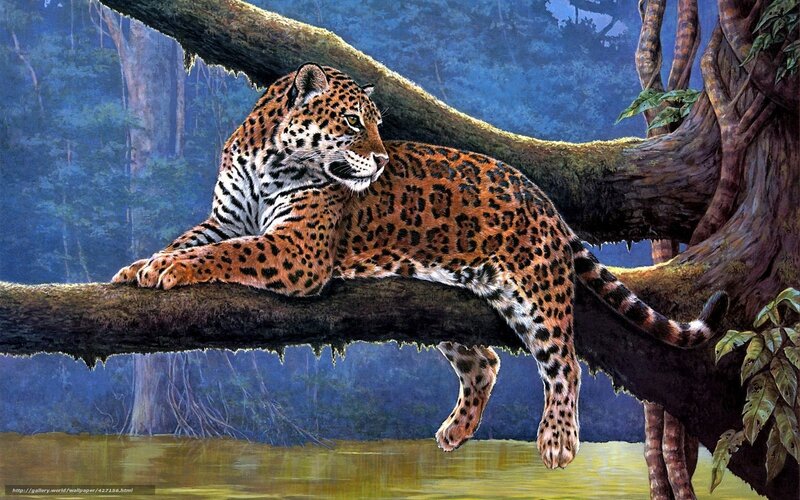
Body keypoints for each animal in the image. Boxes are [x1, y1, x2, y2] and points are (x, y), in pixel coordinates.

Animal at [113, 63, 728, 468]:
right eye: (352, 122)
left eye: (378, 124)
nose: (383, 158)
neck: (268, 160)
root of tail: (540, 194)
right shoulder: (225, 218)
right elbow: (195, 239)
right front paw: (140, 265)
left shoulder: (297, 248)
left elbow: (227, 252)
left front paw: (166, 271)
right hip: (450, 300)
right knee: (486, 362)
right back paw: (454, 433)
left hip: (537, 292)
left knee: (564, 362)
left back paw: (556, 440)